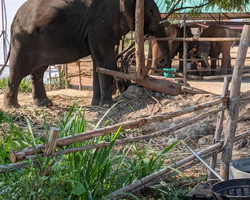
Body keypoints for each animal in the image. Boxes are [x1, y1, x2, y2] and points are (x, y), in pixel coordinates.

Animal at [1, 0, 170, 108]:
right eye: (150, 11)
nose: (162, 62)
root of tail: (13, 20)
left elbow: (98, 63)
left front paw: (96, 105)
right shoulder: (100, 23)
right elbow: (105, 60)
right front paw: (108, 105)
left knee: (38, 71)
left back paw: (44, 104)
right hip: (23, 41)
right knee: (19, 70)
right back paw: (13, 107)